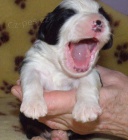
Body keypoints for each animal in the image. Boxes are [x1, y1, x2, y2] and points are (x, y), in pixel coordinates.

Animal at [19, 0, 112, 139]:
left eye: (103, 15)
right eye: (69, 14)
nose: (98, 21)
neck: (60, 69)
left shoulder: (92, 72)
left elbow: (88, 84)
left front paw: (86, 108)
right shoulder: (32, 63)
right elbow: (32, 80)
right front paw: (34, 105)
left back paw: (60, 134)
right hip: (24, 120)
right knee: (30, 128)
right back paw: (39, 136)